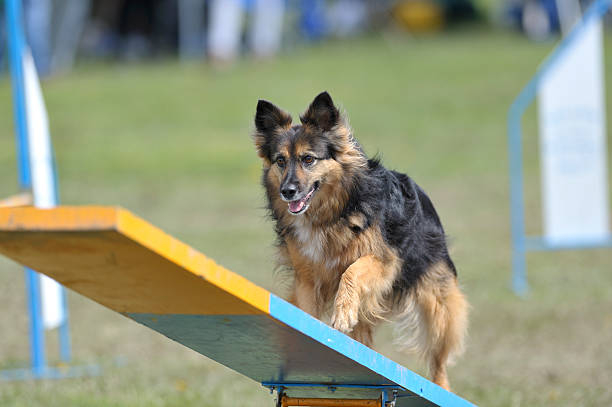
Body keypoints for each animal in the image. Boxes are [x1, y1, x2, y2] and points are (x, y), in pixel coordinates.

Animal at [251, 91, 466, 390]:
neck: (328, 215)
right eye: (280, 161)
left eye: (308, 159)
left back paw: (441, 387)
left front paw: (342, 314)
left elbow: (351, 272)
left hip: (438, 306)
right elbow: (307, 311)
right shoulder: (306, 278)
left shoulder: (383, 261)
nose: (288, 191)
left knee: (438, 360)